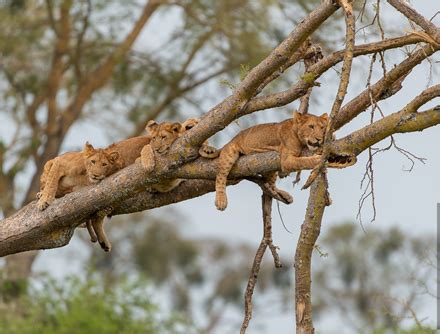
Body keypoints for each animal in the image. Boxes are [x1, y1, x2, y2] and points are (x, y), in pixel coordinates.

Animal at [215, 112, 356, 211]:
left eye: (322, 128)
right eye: (311, 127)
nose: (319, 139)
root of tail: (232, 139)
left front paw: (332, 137)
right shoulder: (286, 160)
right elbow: (302, 162)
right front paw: (316, 159)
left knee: (270, 185)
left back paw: (284, 195)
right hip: (230, 153)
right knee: (221, 176)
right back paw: (221, 201)